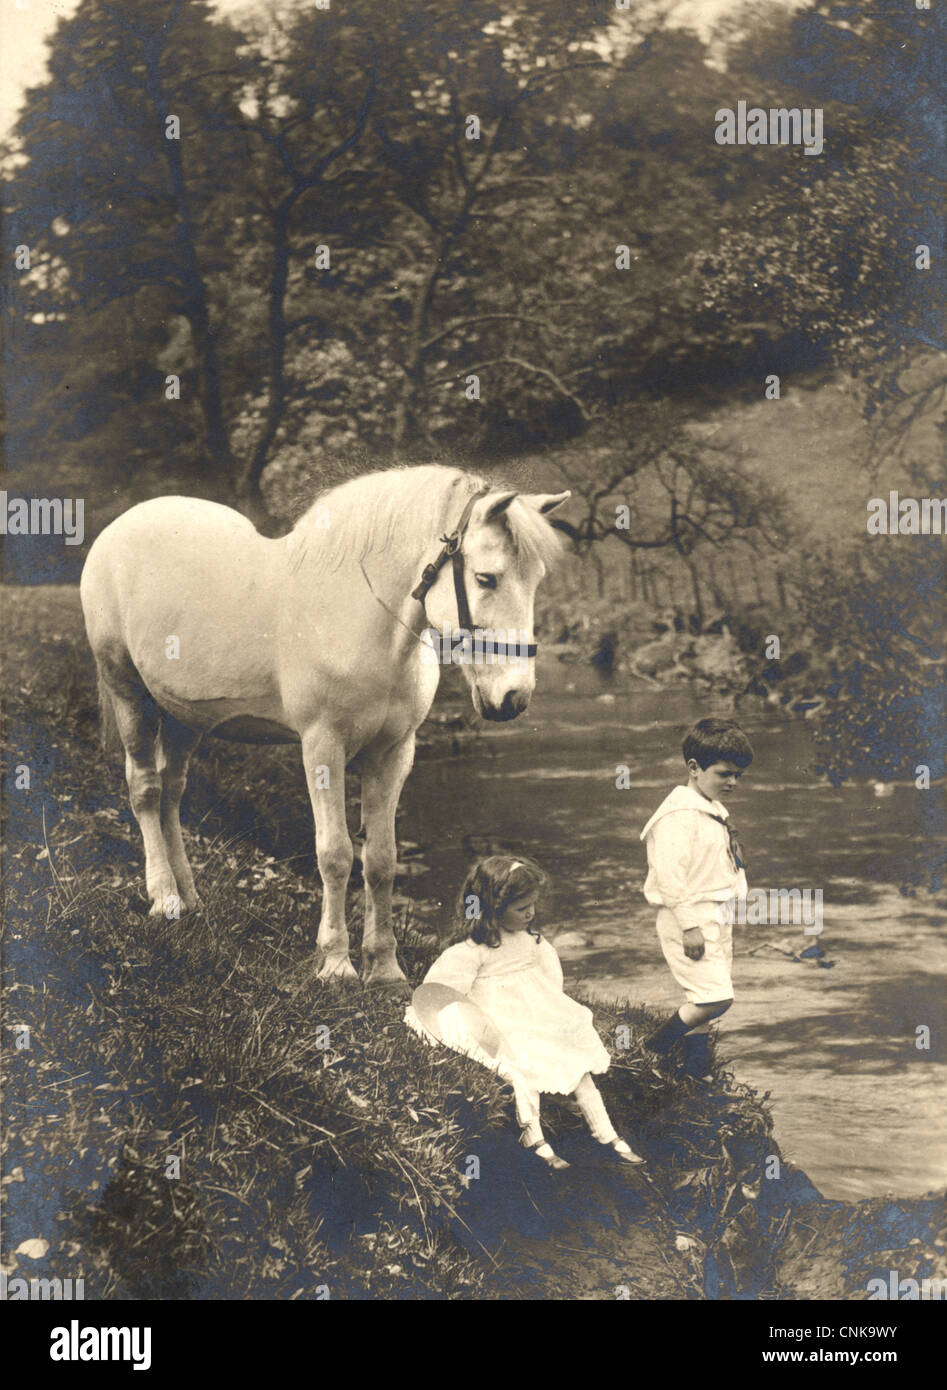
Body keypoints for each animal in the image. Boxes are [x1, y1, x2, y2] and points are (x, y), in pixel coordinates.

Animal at [80, 464, 570, 983]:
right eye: (486, 578)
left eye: (536, 580)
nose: (513, 698)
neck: (362, 618)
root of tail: (121, 527)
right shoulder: (322, 746)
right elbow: (335, 855)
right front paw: (335, 964)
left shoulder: (394, 752)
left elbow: (381, 859)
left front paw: (385, 967)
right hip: (128, 691)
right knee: (145, 790)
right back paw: (164, 897)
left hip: (183, 717)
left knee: (173, 793)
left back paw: (189, 896)